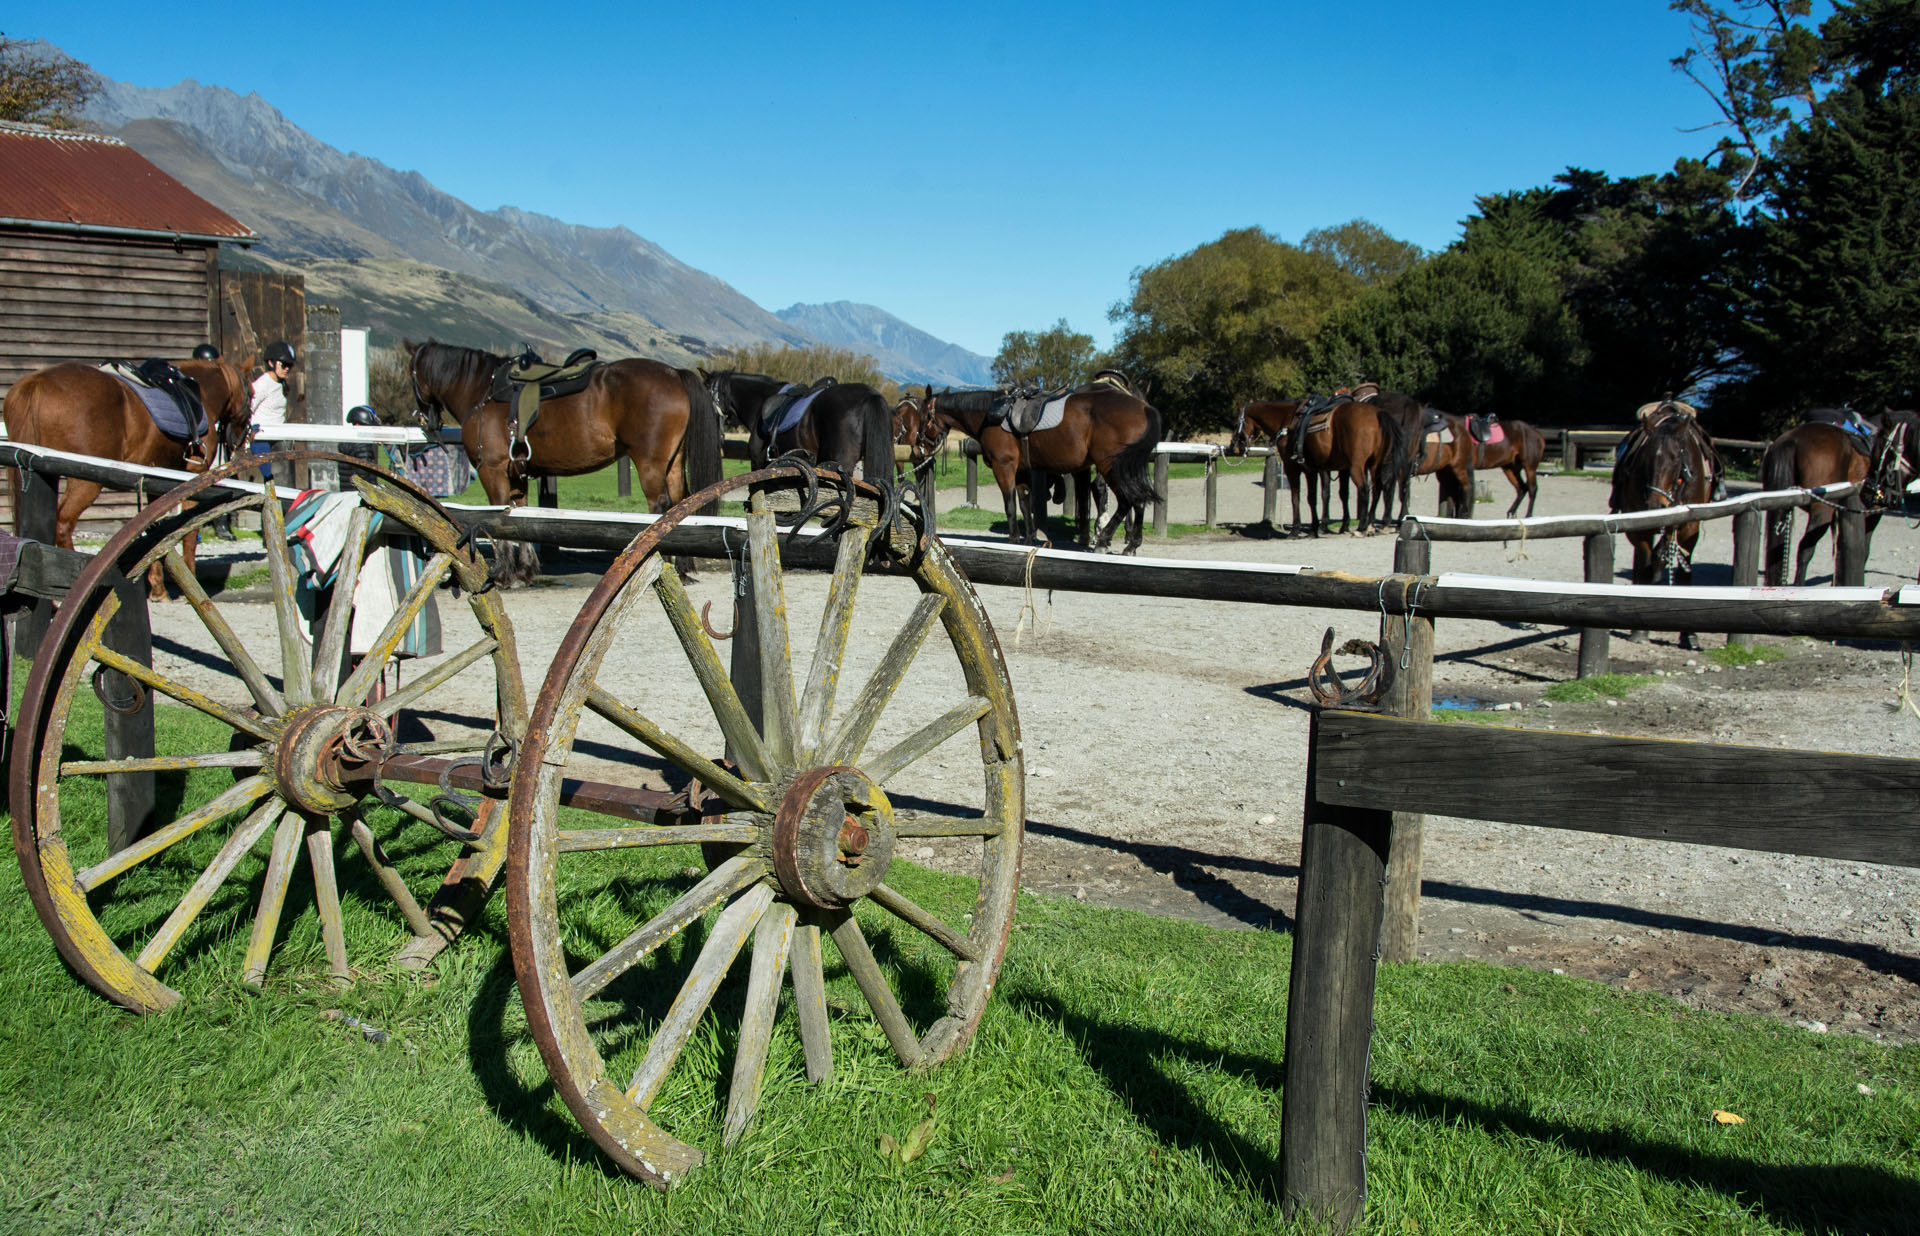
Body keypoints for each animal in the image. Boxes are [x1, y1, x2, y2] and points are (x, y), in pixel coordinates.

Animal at [3, 357, 249, 601]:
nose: (242, 439)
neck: (199, 393)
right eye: (251, 394)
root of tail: (37, 383)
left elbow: (156, 530)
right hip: (85, 482)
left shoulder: (156, 480)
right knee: (63, 523)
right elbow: (189, 531)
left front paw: (158, 588)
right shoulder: (195, 475)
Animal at [402, 339, 722, 586]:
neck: (483, 392)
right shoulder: (517, 473)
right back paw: (683, 568)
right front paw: (525, 570)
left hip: (649, 463)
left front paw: (504, 573)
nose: (425, 420)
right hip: (673, 462)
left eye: (412, 374)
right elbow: (520, 515)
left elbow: (499, 516)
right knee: (681, 503)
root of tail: (674, 373)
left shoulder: (491, 469)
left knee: (661, 507)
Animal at [926, 383, 1162, 553]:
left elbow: (1010, 504)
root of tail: (1144, 407)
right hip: (1129, 468)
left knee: (1127, 501)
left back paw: (1104, 540)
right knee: (1139, 501)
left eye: (924, 415)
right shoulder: (1021, 470)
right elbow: (1024, 503)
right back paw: (1131, 545)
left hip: (1111, 466)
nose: (922, 442)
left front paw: (1013, 539)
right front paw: (1029, 538)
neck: (989, 416)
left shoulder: (1004, 466)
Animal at [1609, 409, 1716, 649]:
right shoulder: (1640, 529)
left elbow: (1682, 569)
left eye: (1676, 457)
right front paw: (1639, 629)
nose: (1656, 505)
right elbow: (1646, 563)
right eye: (1647, 458)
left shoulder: (1689, 528)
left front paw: (1690, 634)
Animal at [1760, 408, 1920, 585]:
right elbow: (1863, 549)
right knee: (1805, 550)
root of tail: (1793, 439)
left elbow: (1839, 550)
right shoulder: (1873, 513)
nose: (1871, 489)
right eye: (1877, 451)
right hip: (1821, 511)